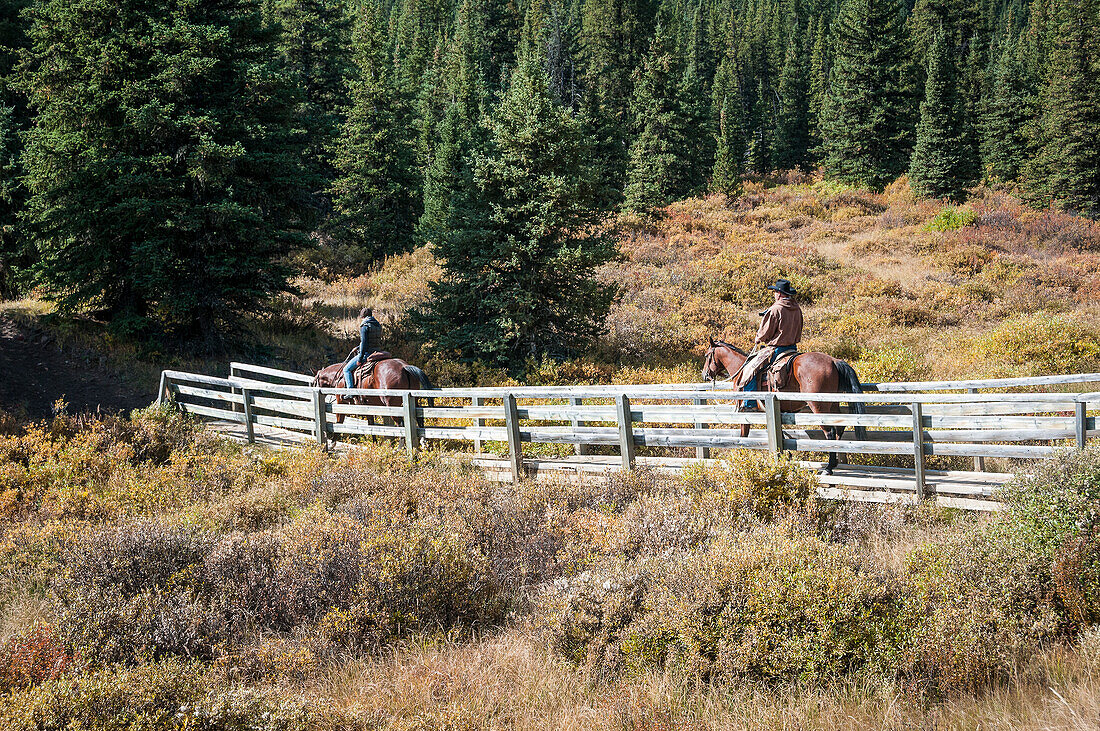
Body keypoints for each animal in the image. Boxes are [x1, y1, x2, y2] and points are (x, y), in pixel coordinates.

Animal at [699, 338, 862, 472]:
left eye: (707, 355)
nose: (704, 374)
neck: (740, 369)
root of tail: (834, 361)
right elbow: (780, 432)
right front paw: (786, 455)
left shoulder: (744, 412)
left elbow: (743, 435)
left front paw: (740, 457)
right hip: (833, 403)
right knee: (839, 428)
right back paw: (835, 462)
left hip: (818, 406)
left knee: (829, 432)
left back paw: (829, 467)